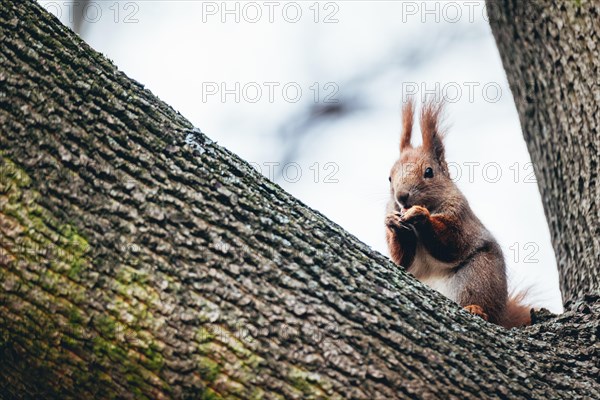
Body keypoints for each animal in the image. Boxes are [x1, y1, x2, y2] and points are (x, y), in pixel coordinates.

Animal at [384, 99, 528, 328]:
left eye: (429, 172)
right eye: (389, 177)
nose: (401, 197)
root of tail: (503, 315)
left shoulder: (460, 216)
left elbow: (453, 241)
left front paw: (421, 215)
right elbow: (401, 260)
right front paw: (392, 223)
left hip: (479, 276)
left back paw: (477, 310)